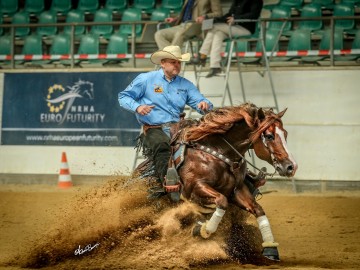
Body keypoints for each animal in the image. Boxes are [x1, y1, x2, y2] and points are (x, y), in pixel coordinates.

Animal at [136, 102, 296, 260]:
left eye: (285, 134)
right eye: (269, 136)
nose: (291, 167)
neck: (218, 152)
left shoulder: (237, 190)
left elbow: (257, 209)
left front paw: (270, 249)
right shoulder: (194, 188)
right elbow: (221, 201)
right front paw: (201, 229)